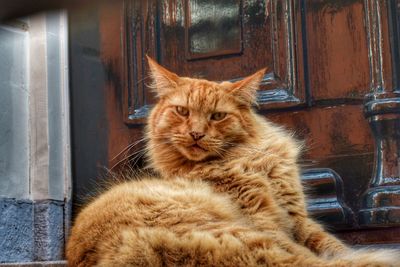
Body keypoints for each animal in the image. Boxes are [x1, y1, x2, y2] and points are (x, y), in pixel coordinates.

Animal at [66, 57, 400, 266]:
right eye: (183, 112)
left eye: (217, 116)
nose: (196, 134)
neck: (245, 160)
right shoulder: (264, 219)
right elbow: (326, 252)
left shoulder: (298, 217)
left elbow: (332, 244)